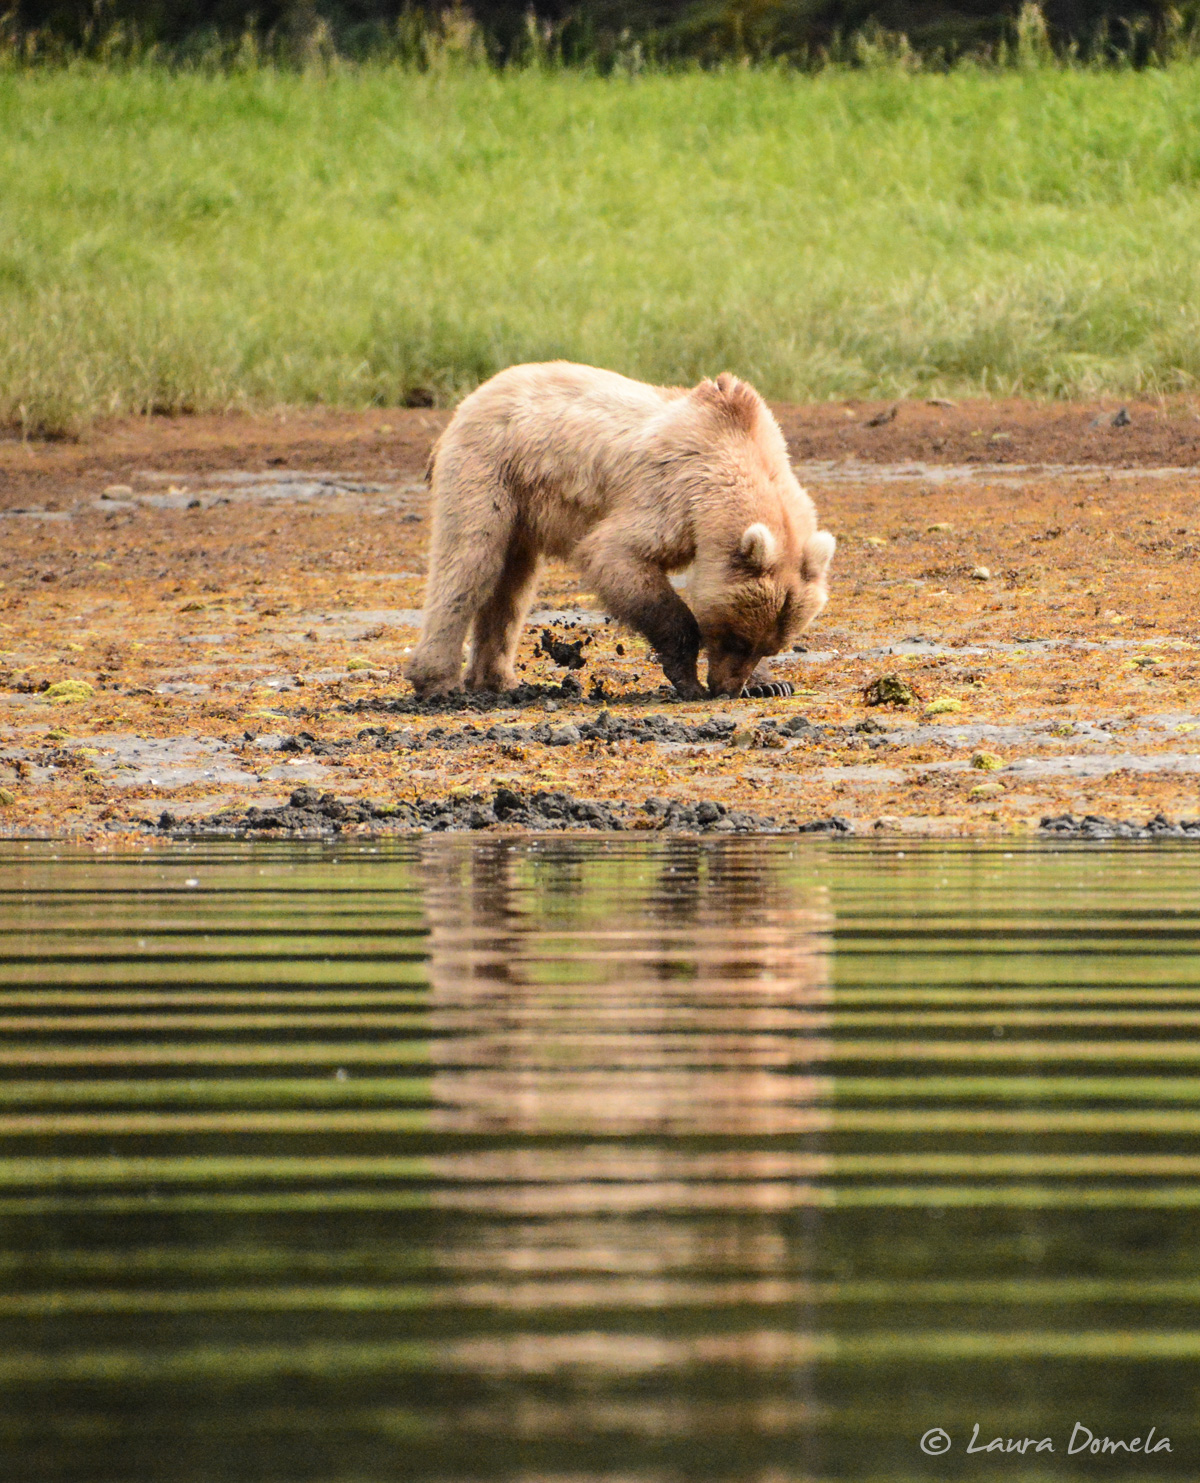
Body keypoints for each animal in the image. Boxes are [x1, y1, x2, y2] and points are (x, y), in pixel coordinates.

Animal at [403, 363, 830, 699]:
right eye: (735, 637)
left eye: (769, 646)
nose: (727, 688)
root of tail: (471, 398)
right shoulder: (667, 498)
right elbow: (616, 555)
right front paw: (687, 677)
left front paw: (770, 683)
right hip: (488, 471)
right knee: (471, 563)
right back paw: (438, 682)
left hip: (523, 508)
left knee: (513, 586)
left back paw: (496, 680)